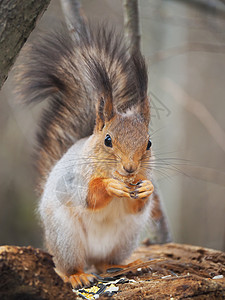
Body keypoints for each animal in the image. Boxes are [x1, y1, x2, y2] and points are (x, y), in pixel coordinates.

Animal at [15, 22, 171, 288]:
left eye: (149, 143)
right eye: (108, 140)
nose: (130, 168)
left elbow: (137, 206)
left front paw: (146, 188)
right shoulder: (76, 179)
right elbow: (89, 197)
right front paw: (110, 186)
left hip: (125, 238)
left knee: (104, 263)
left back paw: (122, 265)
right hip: (66, 237)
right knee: (69, 266)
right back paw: (77, 275)